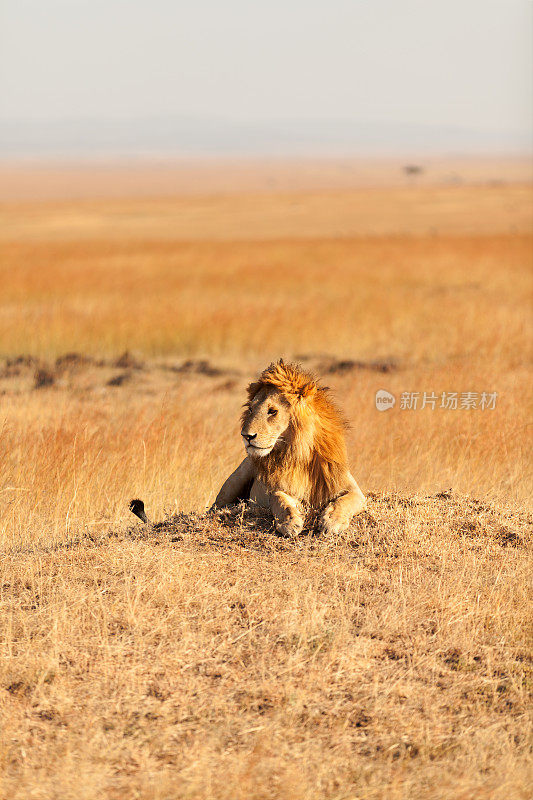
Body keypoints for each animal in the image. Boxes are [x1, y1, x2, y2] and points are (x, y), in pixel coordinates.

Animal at [212, 358, 366, 536]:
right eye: (250, 409)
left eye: (272, 411)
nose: (246, 436)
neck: (299, 454)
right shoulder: (279, 488)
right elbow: (279, 498)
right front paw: (290, 522)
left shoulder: (354, 490)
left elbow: (344, 501)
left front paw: (332, 521)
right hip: (238, 475)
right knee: (215, 506)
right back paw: (235, 507)